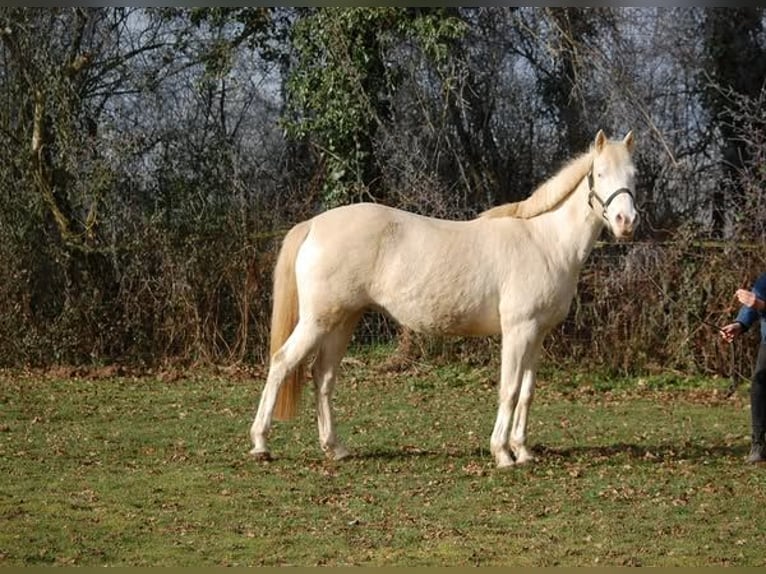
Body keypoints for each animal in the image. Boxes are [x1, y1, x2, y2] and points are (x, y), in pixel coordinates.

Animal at [249, 130, 640, 468]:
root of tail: (313, 224)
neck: (544, 241)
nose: (626, 221)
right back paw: (261, 444)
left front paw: (523, 451)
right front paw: (502, 454)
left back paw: (335, 447)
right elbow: (509, 389)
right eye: (600, 173)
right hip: (318, 320)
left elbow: (527, 391)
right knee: (282, 363)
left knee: (323, 376)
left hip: (343, 320)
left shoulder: (538, 334)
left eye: (633, 175)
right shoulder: (518, 331)